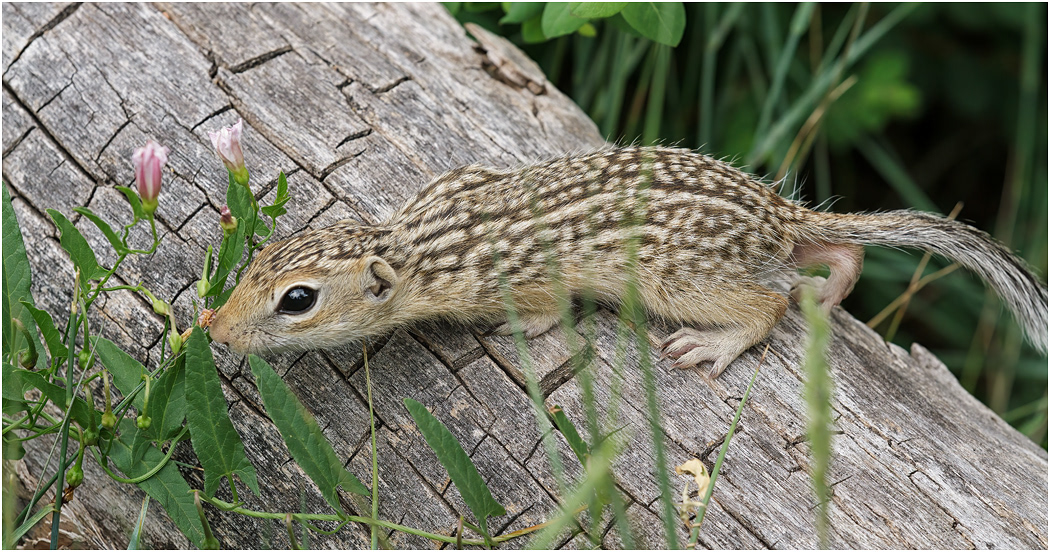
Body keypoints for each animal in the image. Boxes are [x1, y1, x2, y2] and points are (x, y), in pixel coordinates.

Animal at [208, 147, 1048, 377]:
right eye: (261, 259)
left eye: (297, 300)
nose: (213, 329)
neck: (417, 244)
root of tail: (776, 212)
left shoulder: (524, 276)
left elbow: (547, 312)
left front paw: (525, 333)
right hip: (786, 245)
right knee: (834, 252)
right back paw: (830, 291)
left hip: (687, 282)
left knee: (769, 303)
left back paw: (713, 346)